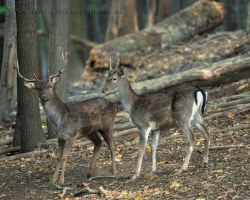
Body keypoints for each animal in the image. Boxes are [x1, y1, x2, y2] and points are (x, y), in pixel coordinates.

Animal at [14, 51, 117, 186]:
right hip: (90, 131)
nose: (44, 96)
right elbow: (58, 157)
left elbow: (64, 157)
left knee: (112, 146)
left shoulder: (70, 135)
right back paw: (89, 173)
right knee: (98, 143)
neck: (59, 120)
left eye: (50, 85)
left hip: (107, 125)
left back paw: (113, 172)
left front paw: (61, 181)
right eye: (38, 88)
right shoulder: (60, 138)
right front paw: (52, 181)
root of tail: (114, 105)